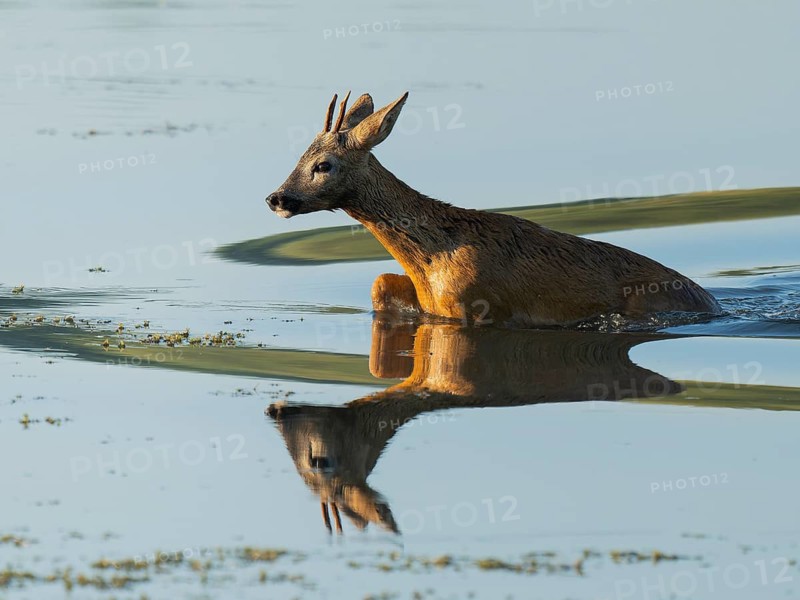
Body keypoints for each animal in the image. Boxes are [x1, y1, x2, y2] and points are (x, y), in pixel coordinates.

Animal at [266, 91, 722, 327]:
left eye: (323, 165)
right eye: (300, 155)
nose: (276, 198)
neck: (431, 259)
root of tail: (713, 303)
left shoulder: (476, 306)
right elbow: (380, 284)